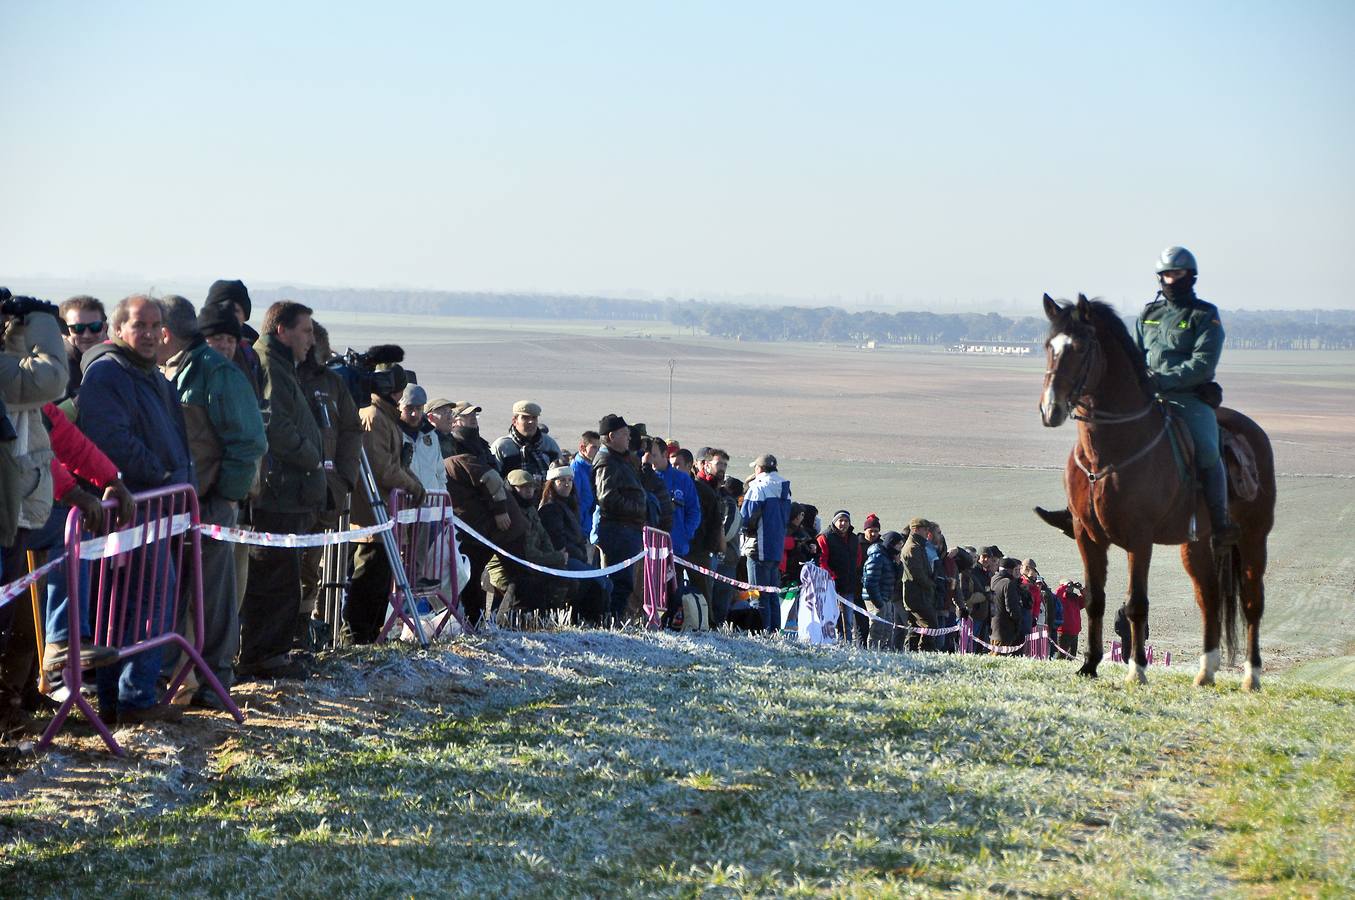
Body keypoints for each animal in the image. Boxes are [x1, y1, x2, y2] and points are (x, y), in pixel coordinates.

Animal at [1035, 295, 1279, 688]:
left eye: (1081, 347)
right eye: (1049, 346)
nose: (1050, 408)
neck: (1108, 453)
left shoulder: (1139, 538)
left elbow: (1136, 604)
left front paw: (1136, 670)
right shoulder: (1087, 536)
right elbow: (1094, 600)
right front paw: (1089, 665)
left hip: (1254, 538)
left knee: (1252, 602)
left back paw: (1251, 677)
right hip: (1195, 545)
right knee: (1209, 598)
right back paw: (1205, 672)